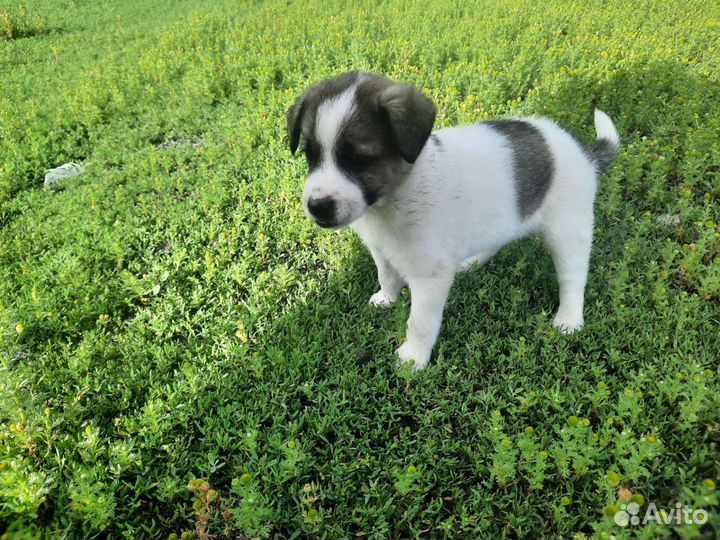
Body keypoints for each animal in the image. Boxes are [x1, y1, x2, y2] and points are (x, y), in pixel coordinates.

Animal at [286, 69, 620, 370]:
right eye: (310, 155)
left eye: (358, 159)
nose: (317, 206)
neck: (395, 196)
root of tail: (585, 154)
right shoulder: (380, 249)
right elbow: (387, 275)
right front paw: (386, 298)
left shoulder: (429, 277)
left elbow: (419, 322)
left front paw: (412, 358)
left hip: (569, 229)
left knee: (573, 277)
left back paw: (569, 319)